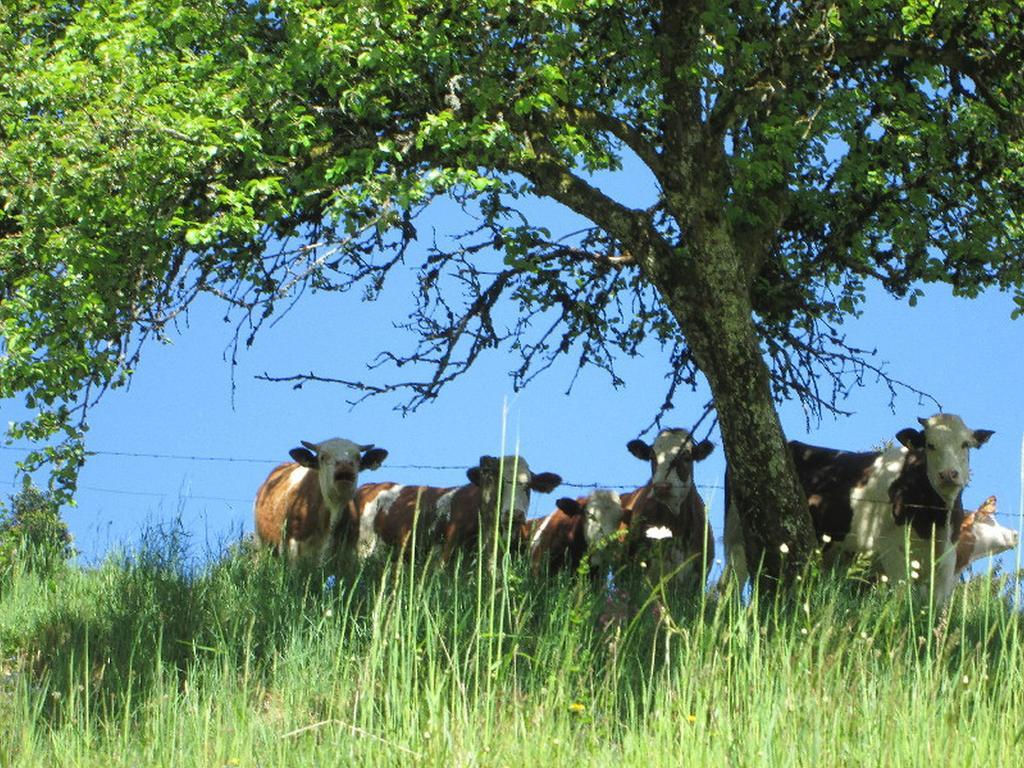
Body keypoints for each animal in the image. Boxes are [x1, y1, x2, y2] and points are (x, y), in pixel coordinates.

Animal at [720, 415, 991, 606]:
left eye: (965, 445)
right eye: (930, 445)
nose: (949, 474)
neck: (934, 518)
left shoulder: (946, 565)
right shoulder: (894, 555)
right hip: (737, 539)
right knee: (730, 584)